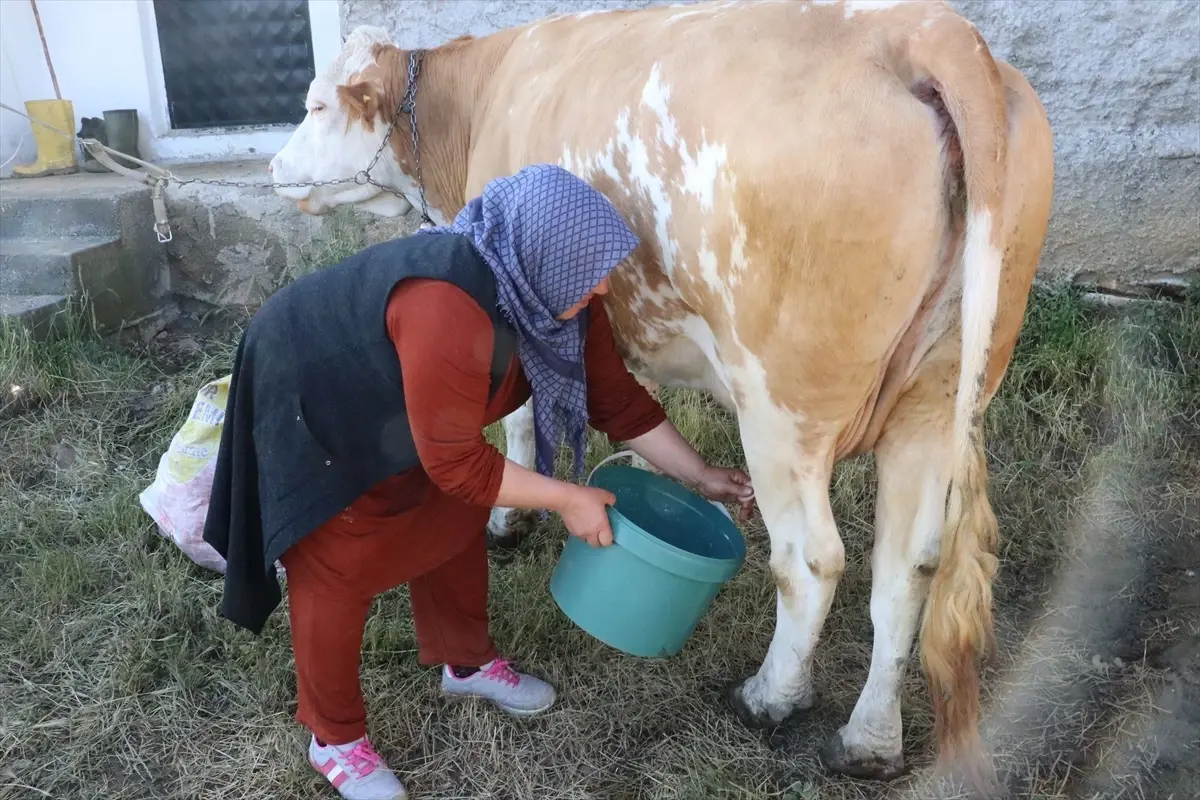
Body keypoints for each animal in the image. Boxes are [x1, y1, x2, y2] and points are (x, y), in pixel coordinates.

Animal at [270, 0, 1051, 786]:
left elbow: (518, 422)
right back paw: (868, 742)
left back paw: (769, 697)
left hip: (781, 407)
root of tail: (923, 29)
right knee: (906, 568)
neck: (476, 103)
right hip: (937, 395)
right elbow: (640, 417)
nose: (273, 167)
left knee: (810, 561)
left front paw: (504, 525)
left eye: (314, 103)